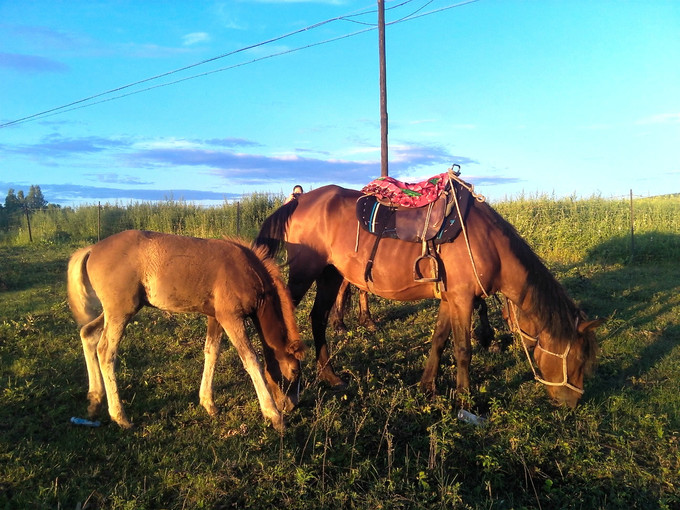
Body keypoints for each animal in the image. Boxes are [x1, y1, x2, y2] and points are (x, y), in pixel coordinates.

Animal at [67, 231, 306, 430]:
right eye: (295, 371)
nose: (292, 405)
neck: (246, 271)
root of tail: (93, 249)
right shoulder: (231, 317)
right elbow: (250, 359)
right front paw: (273, 415)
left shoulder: (216, 317)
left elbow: (211, 353)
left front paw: (208, 403)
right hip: (120, 312)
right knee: (106, 351)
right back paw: (120, 416)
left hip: (116, 311)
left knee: (88, 334)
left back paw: (94, 399)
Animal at [258, 182, 604, 406]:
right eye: (576, 359)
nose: (570, 404)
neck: (490, 244)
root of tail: (299, 201)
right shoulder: (463, 300)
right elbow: (463, 349)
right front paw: (465, 397)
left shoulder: (451, 299)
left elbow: (438, 340)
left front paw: (428, 386)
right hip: (304, 273)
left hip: (330, 274)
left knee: (318, 318)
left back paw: (330, 377)